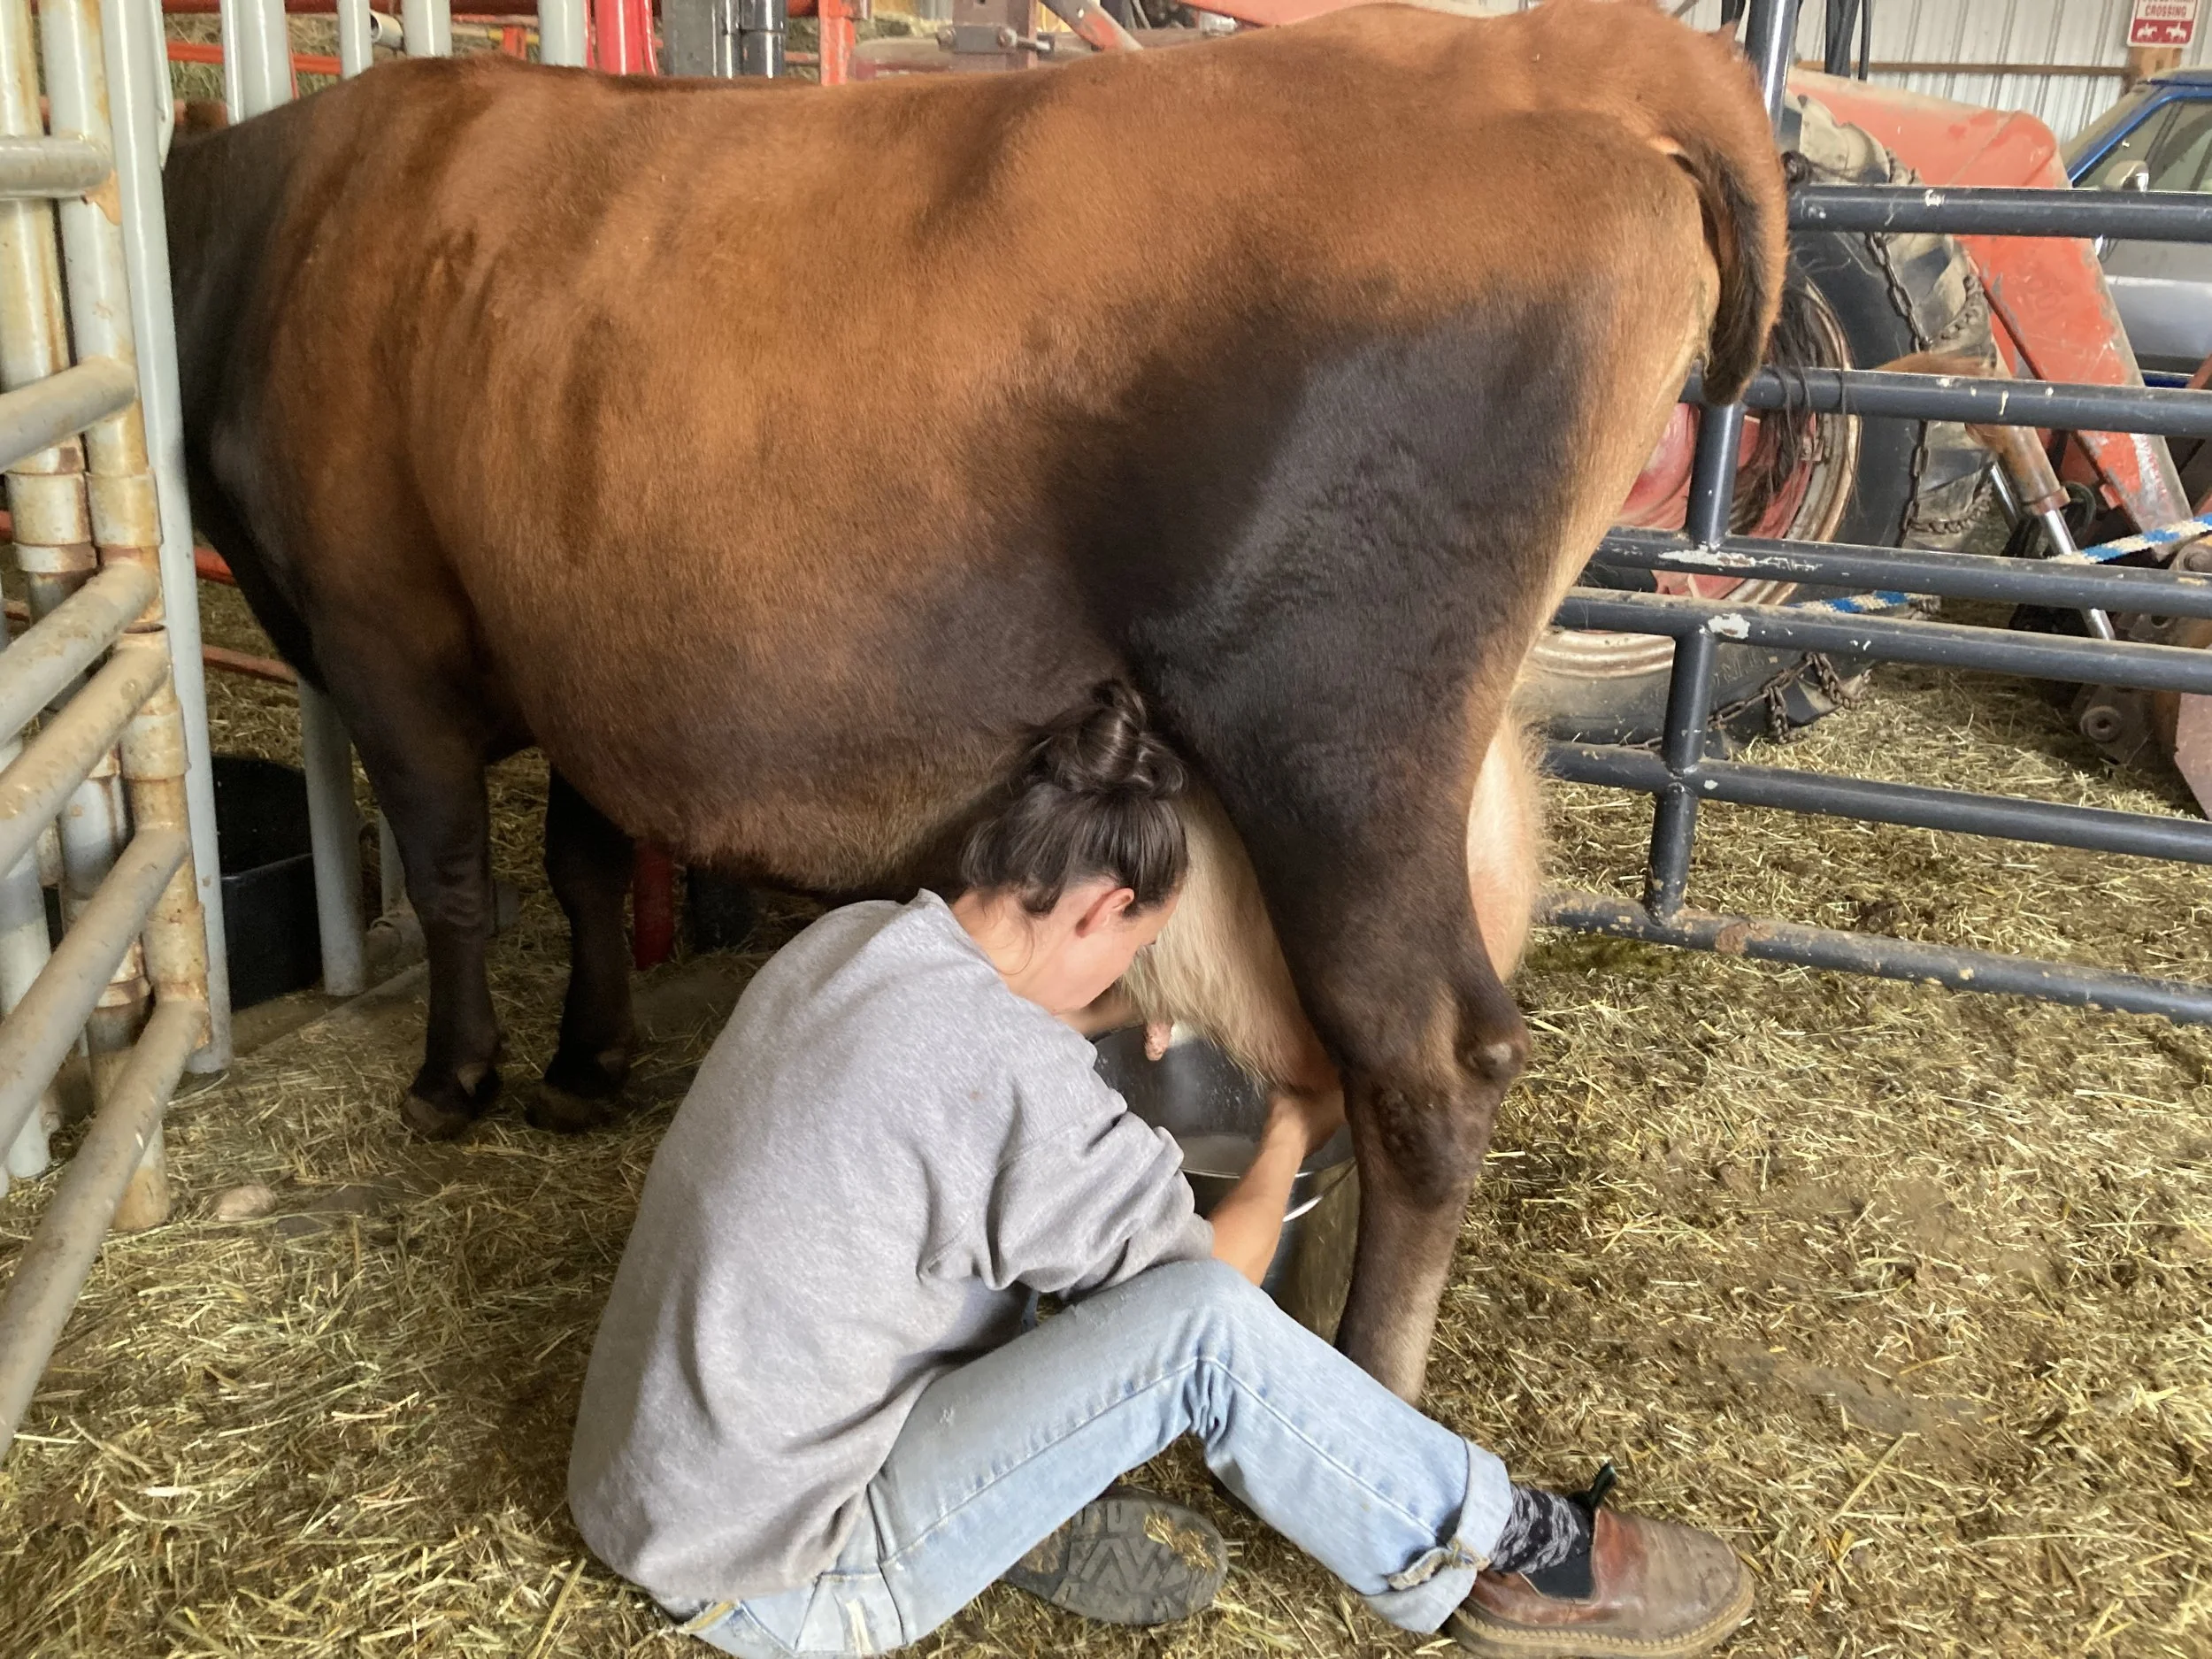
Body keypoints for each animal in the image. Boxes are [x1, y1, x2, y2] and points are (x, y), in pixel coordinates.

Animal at [162, 0, 1784, 1401]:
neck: (285, 219)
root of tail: (1540, 51)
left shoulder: (382, 635)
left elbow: (451, 879)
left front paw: (454, 1078)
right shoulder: (567, 644)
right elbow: (582, 861)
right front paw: (587, 1059)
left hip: (1332, 741)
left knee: (1429, 1060)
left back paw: (1373, 1366)